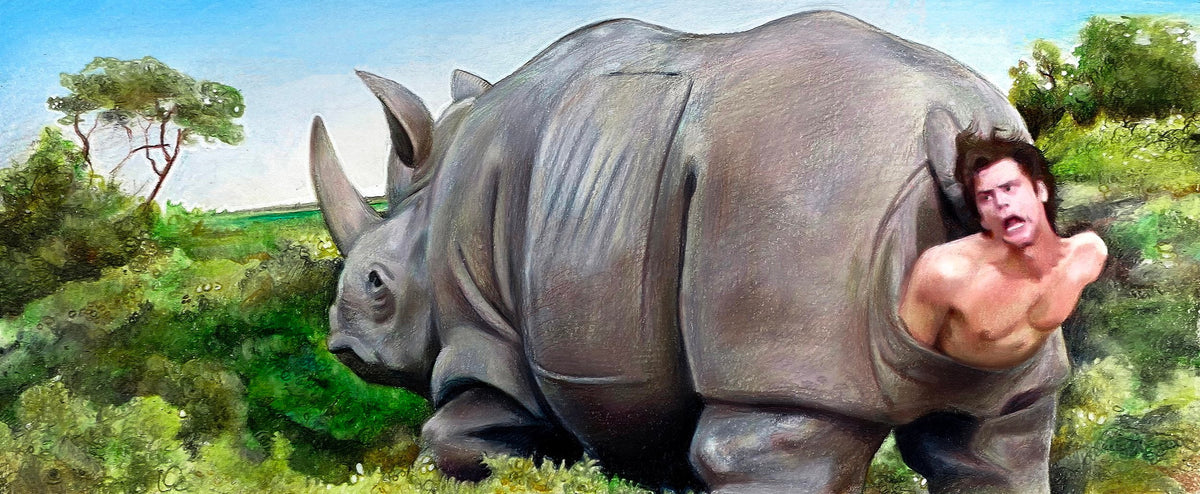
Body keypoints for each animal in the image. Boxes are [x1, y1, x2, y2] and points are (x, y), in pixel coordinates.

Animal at [311, 10, 1069, 493]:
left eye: (376, 284)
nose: (341, 343)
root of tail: (948, 118)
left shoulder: (484, 334)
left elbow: (452, 433)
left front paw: (525, 468)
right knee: (999, 437)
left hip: (800, 194)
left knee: (765, 448)